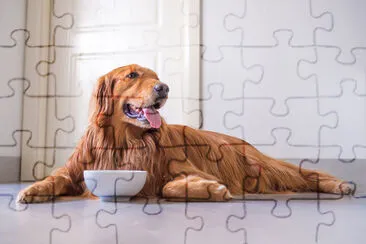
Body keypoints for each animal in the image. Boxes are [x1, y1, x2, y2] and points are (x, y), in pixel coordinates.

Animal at [16, 63, 352, 203]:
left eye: (157, 76)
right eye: (132, 75)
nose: (163, 88)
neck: (124, 142)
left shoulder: (182, 167)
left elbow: (168, 186)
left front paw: (209, 189)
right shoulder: (76, 168)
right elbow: (55, 178)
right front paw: (32, 190)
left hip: (260, 165)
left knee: (302, 173)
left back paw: (340, 184)